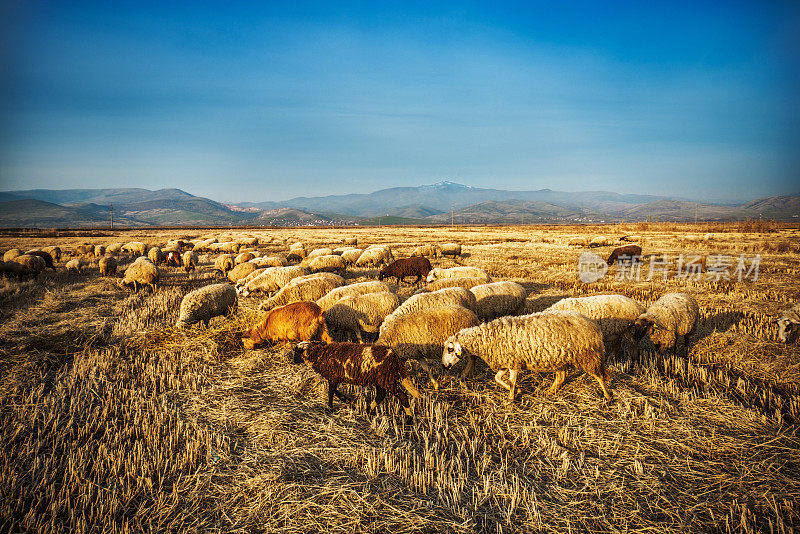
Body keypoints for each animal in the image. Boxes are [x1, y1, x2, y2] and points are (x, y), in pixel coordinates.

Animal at [444, 310, 612, 402]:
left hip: (588, 356)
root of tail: (593, 325)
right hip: (561, 358)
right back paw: (550, 391)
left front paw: (511, 399)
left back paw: (607, 395)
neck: (486, 339)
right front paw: (517, 391)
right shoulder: (506, 362)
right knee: (561, 376)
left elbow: (511, 382)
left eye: (450, 349)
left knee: (599, 376)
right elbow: (498, 379)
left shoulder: (513, 363)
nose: (444, 366)